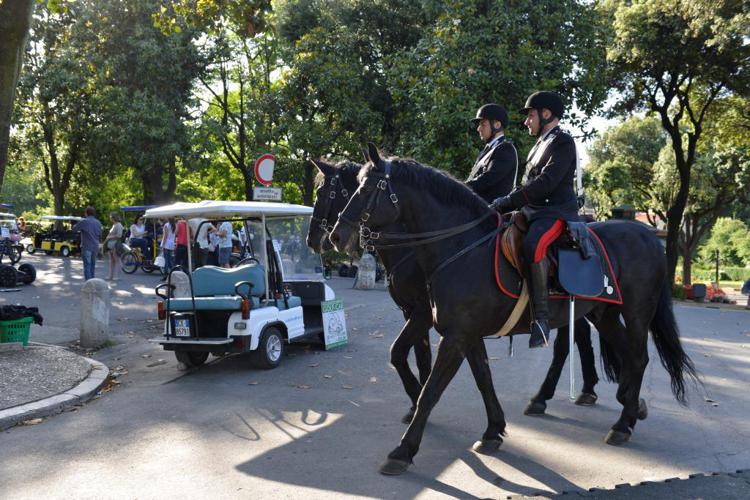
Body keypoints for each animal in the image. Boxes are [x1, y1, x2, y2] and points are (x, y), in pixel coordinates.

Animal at [308, 158, 608, 416]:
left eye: (325, 192)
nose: (325, 238)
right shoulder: (415, 313)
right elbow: (420, 355)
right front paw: (417, 399)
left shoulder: (423, 313)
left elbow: (402, 353)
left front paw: (417, 398)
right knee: (578, 337)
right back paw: (580, 391)